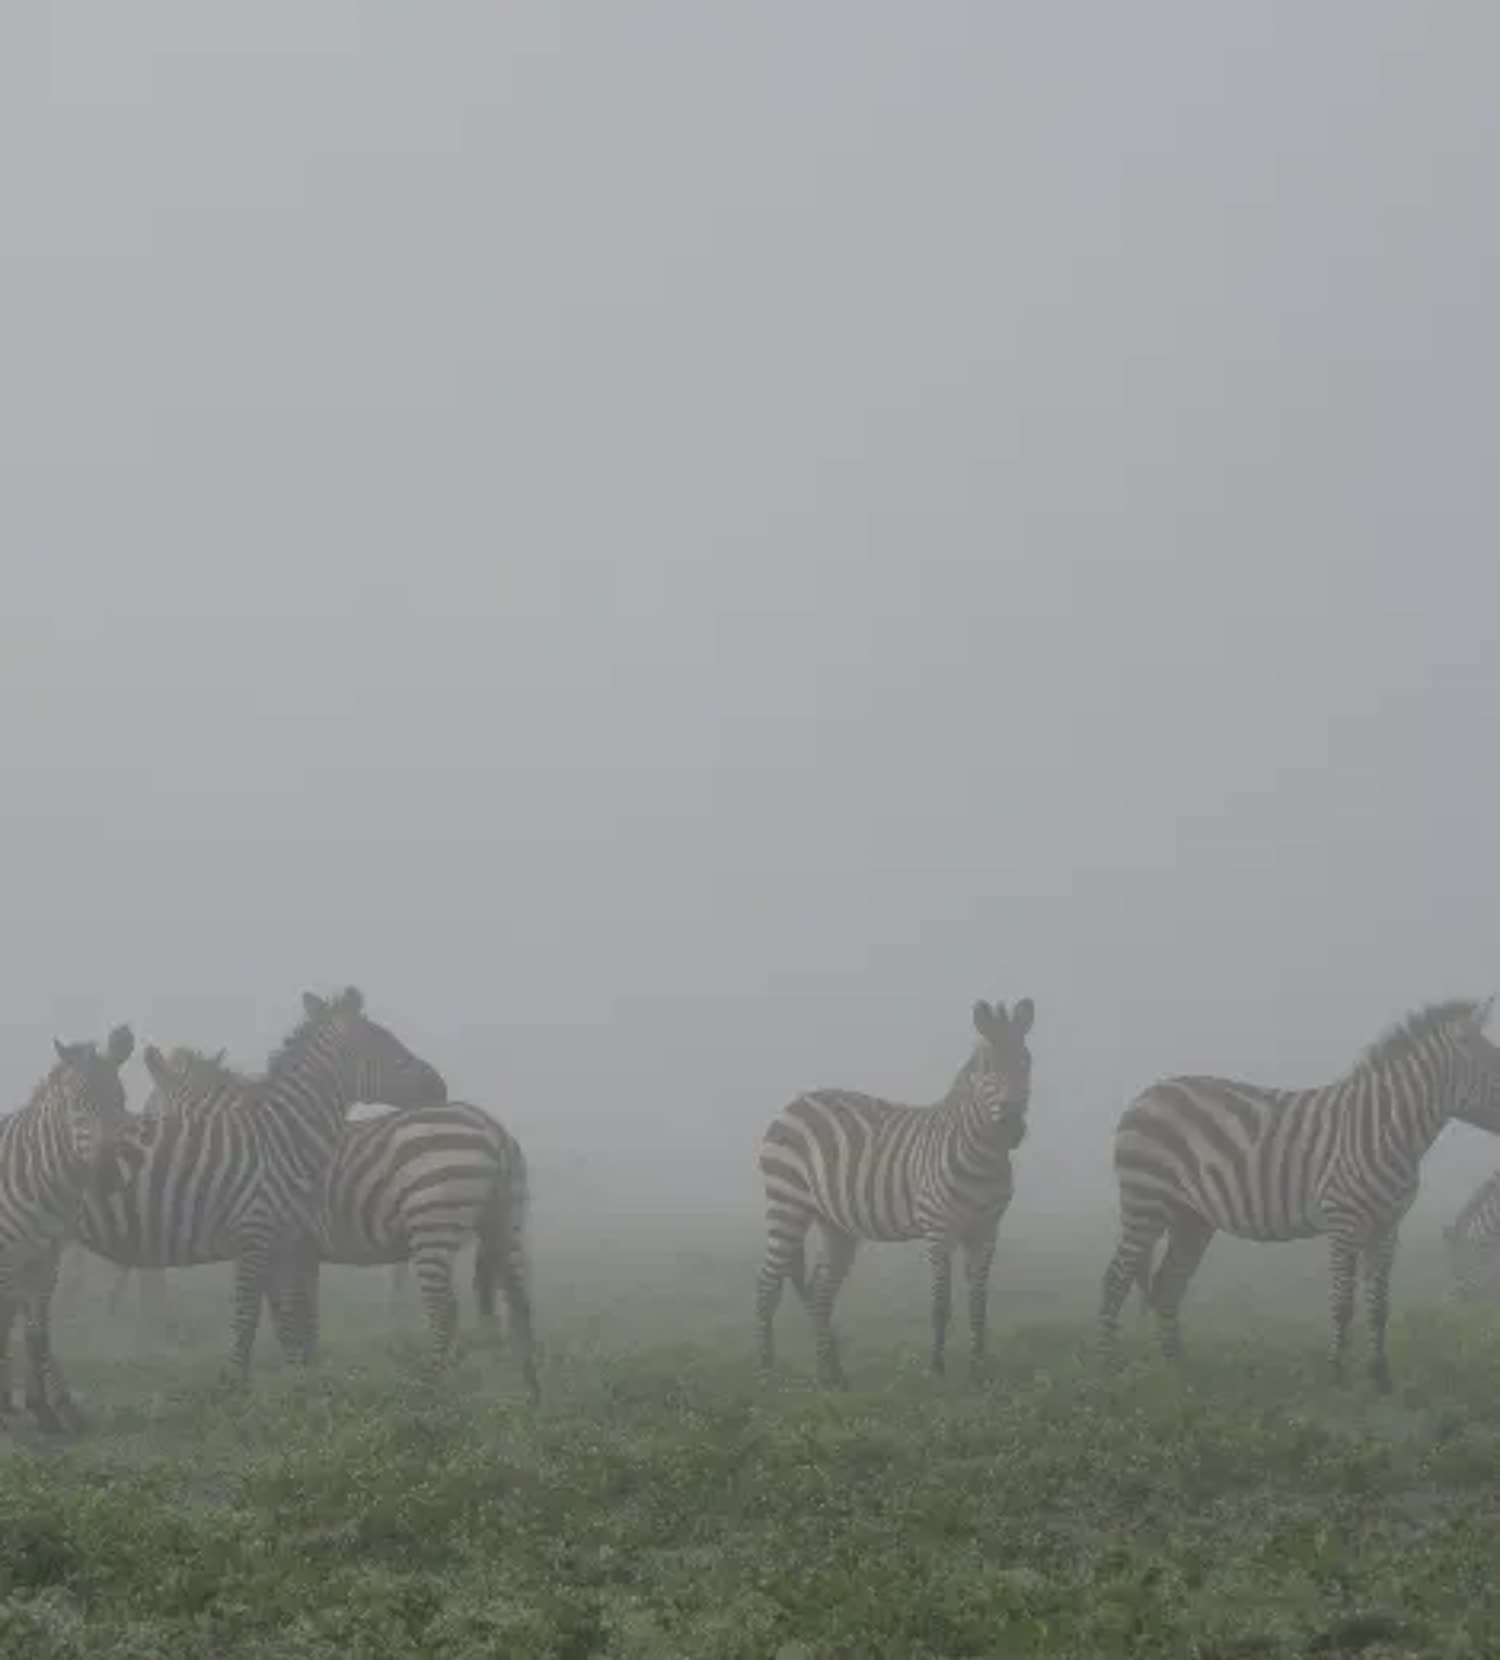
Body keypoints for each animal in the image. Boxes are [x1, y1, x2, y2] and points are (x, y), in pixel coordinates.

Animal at [0, 1025, 136, 1431]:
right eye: (77, 1103)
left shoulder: (47, 1260)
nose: (108, 1176)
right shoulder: (10, 1257)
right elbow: (8, 1325)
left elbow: (36, 1333)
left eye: (120, 1098)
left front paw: (42, 1411)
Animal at [144, 1045, 538, 1399]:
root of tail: (493, 1130)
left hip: (433, 1223)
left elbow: (279, 1312)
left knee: (445, 1309)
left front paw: (294, 1376)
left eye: (150, 1113)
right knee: (520, 1300)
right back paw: (527, 1385)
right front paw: (309, 1373)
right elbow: (306, 1315)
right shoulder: (301, 1251)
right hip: (506, 1223)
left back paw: (429, 1385)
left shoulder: (273, 1245)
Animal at [756, 996, 1035, 1388]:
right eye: (987, 1069)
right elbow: (940, 1304)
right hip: (787, 1204)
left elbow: (980, 1303)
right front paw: (937, 1370)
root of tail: (794, 1103)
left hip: (836, 1226)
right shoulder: (938, 1229)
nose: (1012, 1128)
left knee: (819, 1294)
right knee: (768, 1285)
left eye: (1026, 1064)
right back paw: (766, 1372)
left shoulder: (986, 1231)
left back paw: (833, 1375)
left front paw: (979, 1371)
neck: (984, 1156)